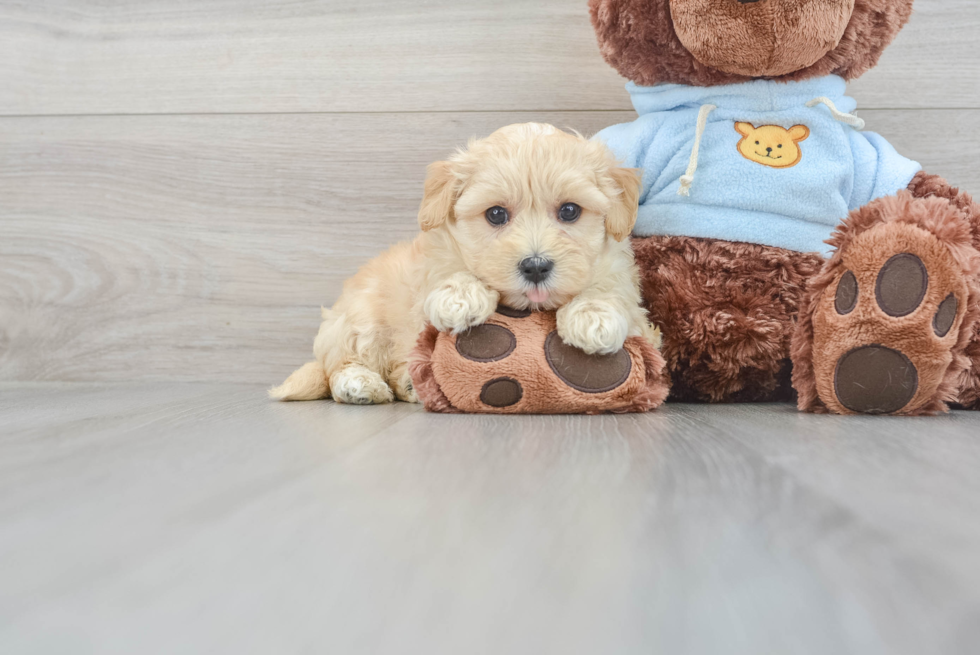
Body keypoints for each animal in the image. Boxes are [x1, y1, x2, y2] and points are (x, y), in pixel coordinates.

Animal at [270, 120, 652, 402]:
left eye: (570, 211)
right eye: (496, 214)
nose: (536, 266)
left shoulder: (624, 280)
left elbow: (611, 288)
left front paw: (593, 318)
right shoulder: (432, 265)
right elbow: (450, 271)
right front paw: (460, 297)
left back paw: (408, 384)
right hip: (361, 320)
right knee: (341, 364)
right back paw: (360, 385)